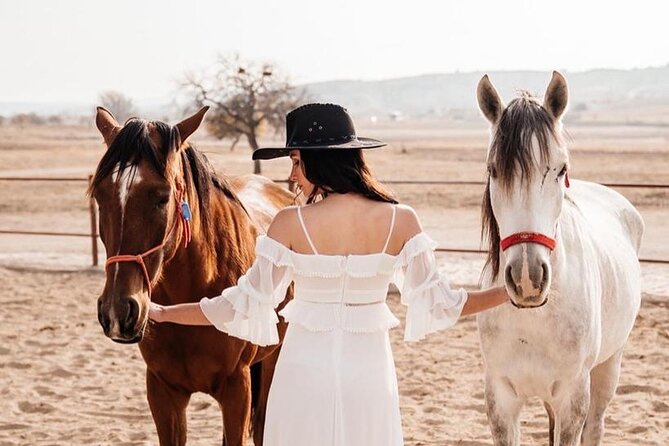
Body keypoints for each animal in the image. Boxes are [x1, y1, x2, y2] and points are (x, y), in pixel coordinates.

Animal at [90, 106, 290, 444]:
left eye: (162, 197)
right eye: (100, 196)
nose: (118, 311)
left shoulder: (237, 390)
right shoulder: (163, 392)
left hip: (272, 360)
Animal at [474, 71, 640, 444]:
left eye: (560, 169)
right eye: (493, 170)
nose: (527, 278)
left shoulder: (572, 397)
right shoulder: (500, 400)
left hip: (609, 366)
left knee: (596, 426)